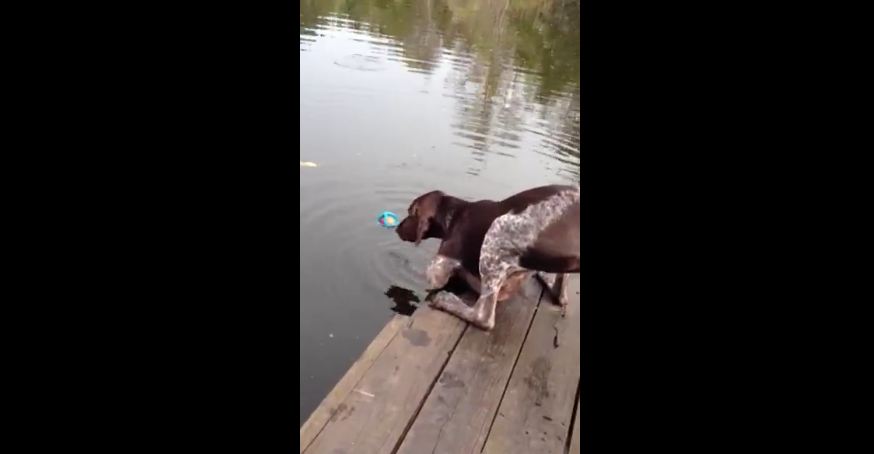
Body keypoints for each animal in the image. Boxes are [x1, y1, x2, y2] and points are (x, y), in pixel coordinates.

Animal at [396, 184, 580, 330]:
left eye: (410, 212)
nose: (397, 228)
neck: (455, 213)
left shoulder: (438, 267)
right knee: (561, 295)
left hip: (496, 232)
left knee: (483, 317)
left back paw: (445, 300)